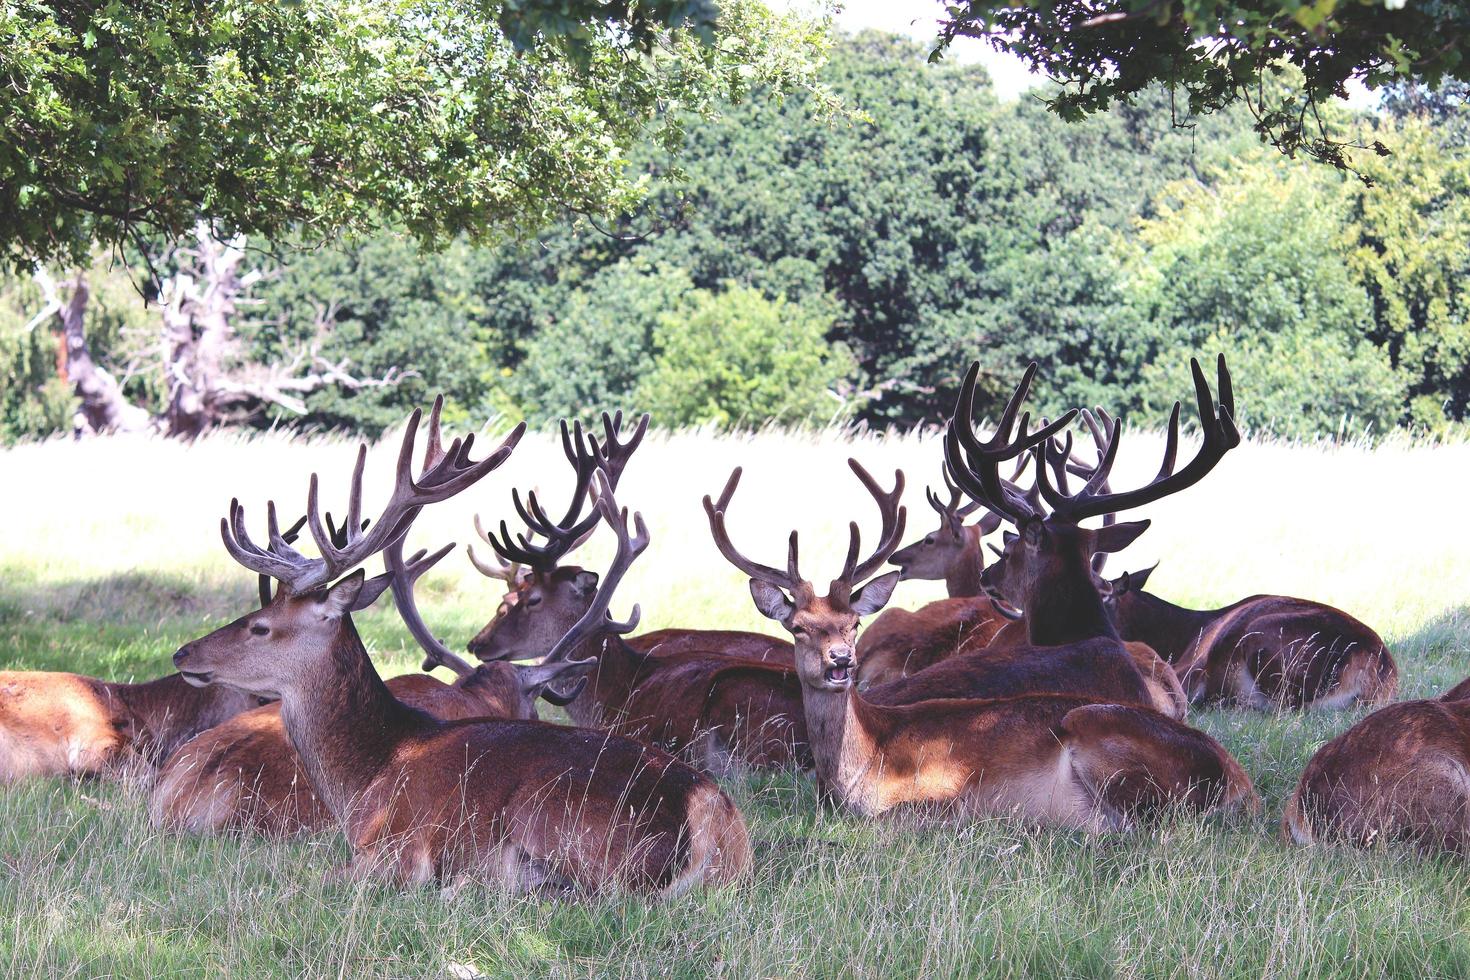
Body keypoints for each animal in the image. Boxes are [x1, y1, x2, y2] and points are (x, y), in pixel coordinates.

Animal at [168, 405, 752, 899]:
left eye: (260, 627)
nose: (183, 654)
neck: (365, 780)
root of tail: (708, 810)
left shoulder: (395, 848)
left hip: (565, 825)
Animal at [705, 364, 1258, 834]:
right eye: (797, 627)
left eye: (852, 624)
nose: (840, 661)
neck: (865, 768)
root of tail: (1244, 785)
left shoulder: (947, 791)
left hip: (1094, 724)